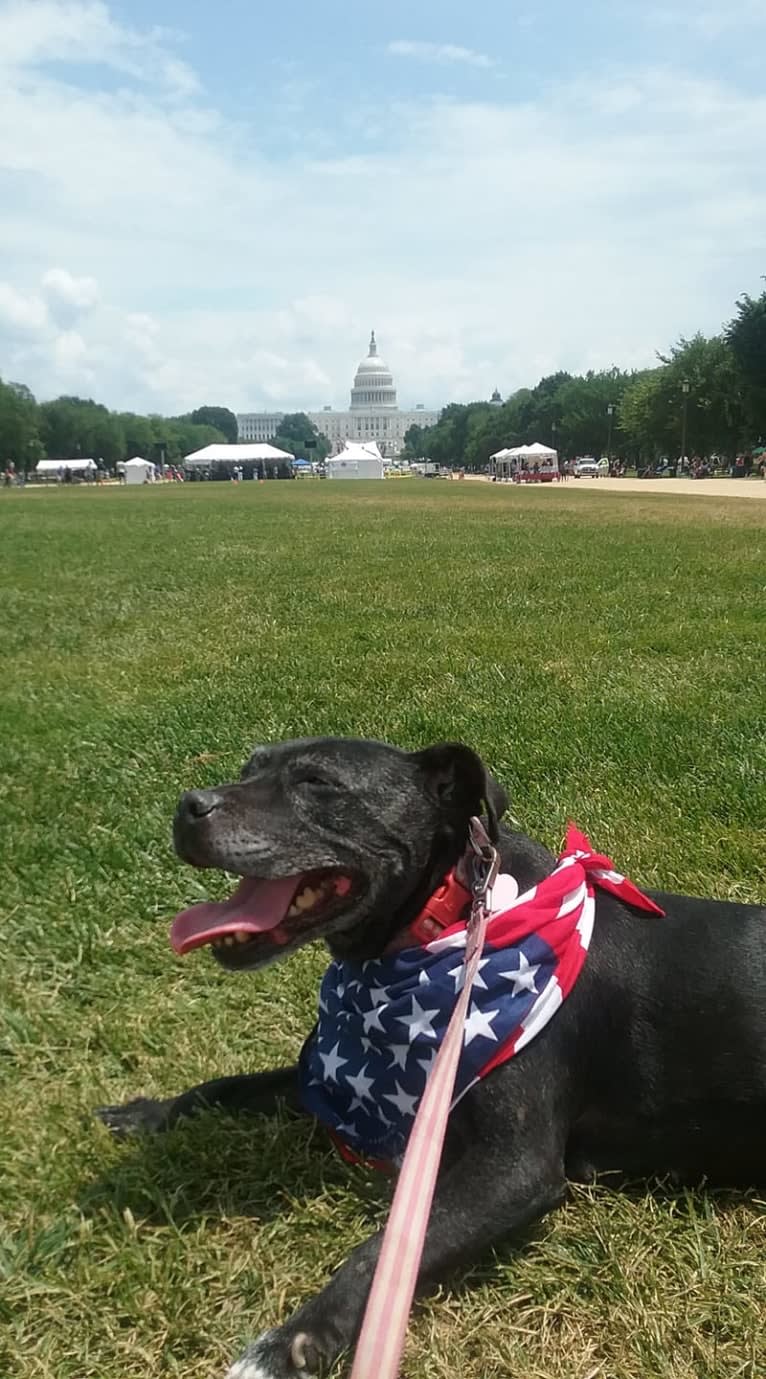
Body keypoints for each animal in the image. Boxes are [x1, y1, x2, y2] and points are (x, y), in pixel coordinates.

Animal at [98, 744, 761, 1379]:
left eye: (317, 783)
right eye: (248, 766)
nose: (188, 806)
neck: (453, 922)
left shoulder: (515, 1168)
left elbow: (377, 1255)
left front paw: (287, 1346)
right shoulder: (331, 1082)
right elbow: (222, 1087)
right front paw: (147, 1114)